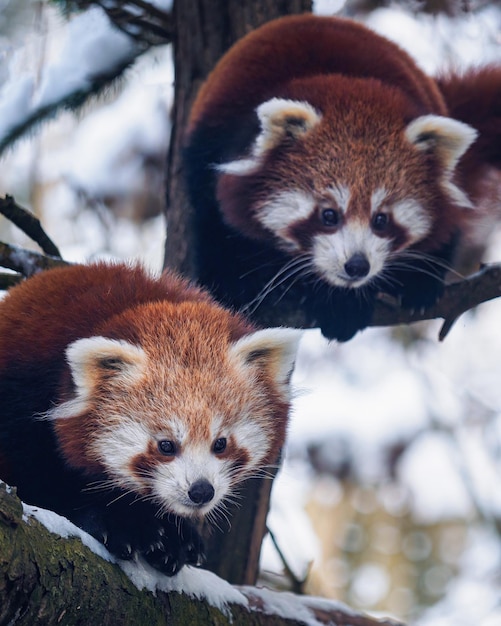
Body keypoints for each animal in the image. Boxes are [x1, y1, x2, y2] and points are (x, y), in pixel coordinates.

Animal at [0, 260, 298, 572]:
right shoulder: (22, 396)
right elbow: (40, 474)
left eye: (221, 443)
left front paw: (177, 538)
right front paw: (110, 523)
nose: (201, 491)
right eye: (166, 445)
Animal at [184, 12, 500, 338]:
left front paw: (344, 306)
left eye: (381, 219)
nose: (357, 266)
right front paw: (231, 289)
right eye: (329, 215)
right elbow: (218, 229)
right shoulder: (212, 153)